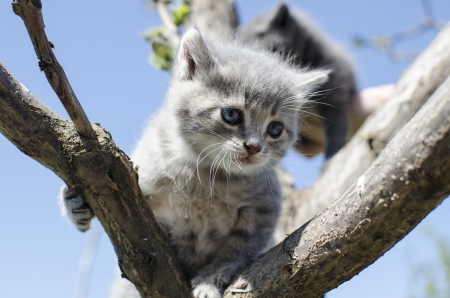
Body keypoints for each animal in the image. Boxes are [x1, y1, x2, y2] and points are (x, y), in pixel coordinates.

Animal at [59, 26, 328, 296]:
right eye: (231, 114)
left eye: (274, 129)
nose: (253, 147)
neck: (207, 175)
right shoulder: (138, 187)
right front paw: (75, 201)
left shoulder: (264, 211)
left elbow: (236, 251)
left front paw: (209, 280)